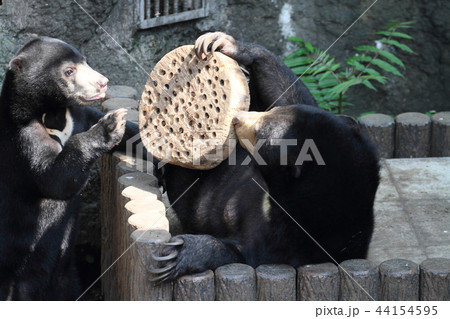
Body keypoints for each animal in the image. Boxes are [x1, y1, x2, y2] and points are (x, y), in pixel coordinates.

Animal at [0, 37, 141, 300]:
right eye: (68, 71)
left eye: (85, 61)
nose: (103, 82)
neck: (55, 115)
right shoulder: (22, 137)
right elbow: (55, 179)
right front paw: (111, 123)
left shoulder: (80, 116)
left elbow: (132, 136)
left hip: (67, 274)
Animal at [151, 32, 380, 282]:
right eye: (269, 113)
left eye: (260, 133)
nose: (237, 117)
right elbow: (291, 95)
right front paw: (224, 43)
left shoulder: (291, 243)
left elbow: (246, 256)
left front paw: (178, 254)